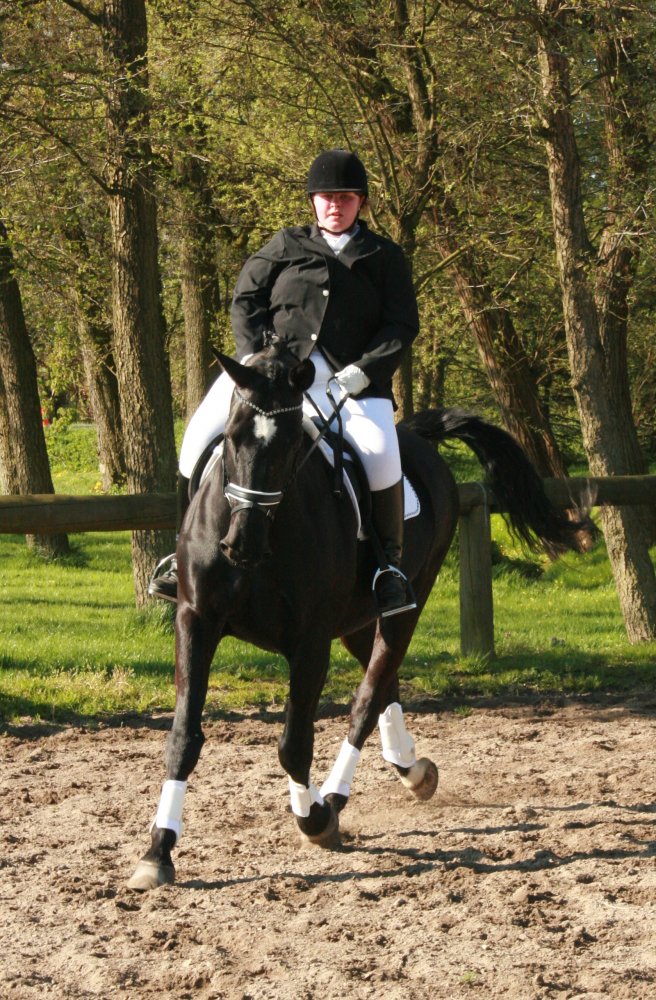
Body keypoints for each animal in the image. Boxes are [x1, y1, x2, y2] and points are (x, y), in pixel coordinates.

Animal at [128, 339, 588, 890]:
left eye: (290, 447)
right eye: (232, 438)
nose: (241, 545)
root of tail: (416, 439)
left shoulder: (309, 641)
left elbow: (294, 744)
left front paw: (314, 819)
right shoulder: (197, 620)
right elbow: (183, 737)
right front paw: (158, 850)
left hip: (404, 604)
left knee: (368, 696)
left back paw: (338, 794)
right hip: (355, 622)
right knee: (383, 681)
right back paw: (411, 768)